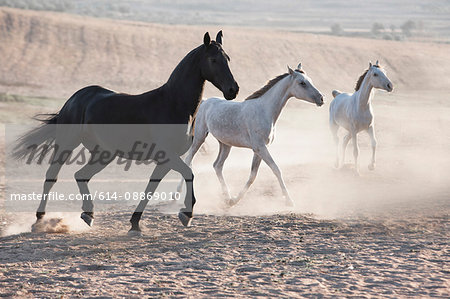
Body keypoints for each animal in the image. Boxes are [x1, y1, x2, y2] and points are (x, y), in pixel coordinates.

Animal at [12, 31, 239, 234]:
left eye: (227, 58)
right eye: (213, 60)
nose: (233, 90)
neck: (173, 104)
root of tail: (75, 98)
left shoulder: (165, 160)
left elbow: (151, 187)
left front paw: (135, 224)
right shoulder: (167, 155)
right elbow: (188, 174)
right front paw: (186, 214)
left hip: (103, 154)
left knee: (81, 175)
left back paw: (88, 215)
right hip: (68, 144)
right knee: (52, 176)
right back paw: (39, 221)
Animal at [178, 64, 322, 207]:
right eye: (302, 83)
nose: (321, 98)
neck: (264, 110)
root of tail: (204, 101)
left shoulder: (258, 150)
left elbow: (253, 175)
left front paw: (235, 200)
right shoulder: (260, 148)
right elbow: (276, 169)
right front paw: (289, 201)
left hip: (225, 144)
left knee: (217, 165)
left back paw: (227, 197)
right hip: (199, 138)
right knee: (189, 159)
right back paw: (178, 193)